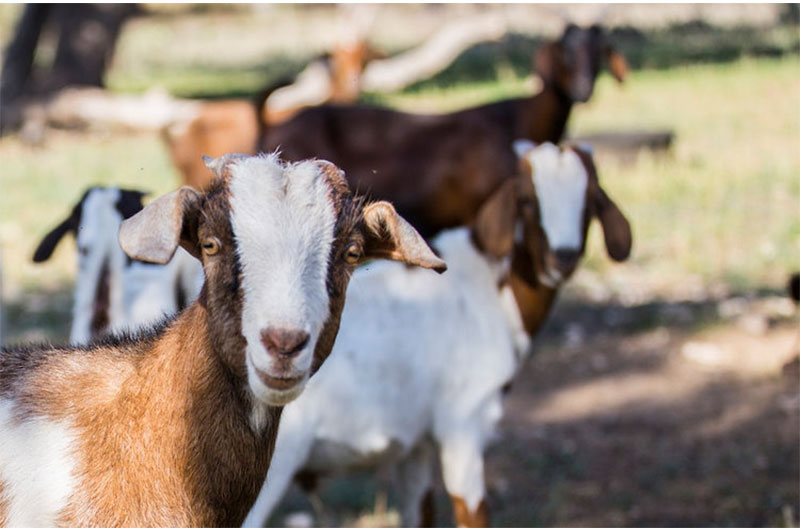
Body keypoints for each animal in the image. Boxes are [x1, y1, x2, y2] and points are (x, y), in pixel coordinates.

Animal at [244, 140, 632, 524]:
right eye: (527, 201)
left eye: (591, 200)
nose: (563, 257)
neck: (487, 288)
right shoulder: (463, 422)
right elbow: (473, 511)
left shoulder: (413, 443)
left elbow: (420, 511)